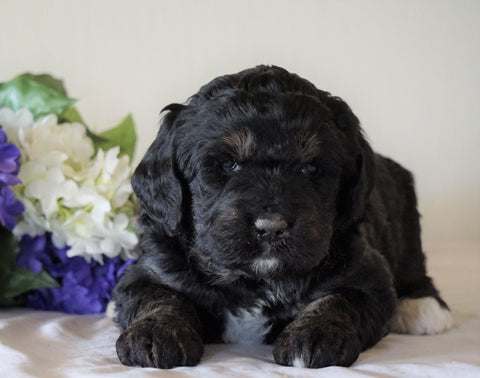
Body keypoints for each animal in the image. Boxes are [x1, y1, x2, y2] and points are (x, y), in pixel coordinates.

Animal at [110, 65, 452, 370]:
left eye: (310, 168)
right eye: (228, 165)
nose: (271, 228)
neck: (255, 280)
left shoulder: (365, 272)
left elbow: (340, 299)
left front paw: (315, 334)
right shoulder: (152, 268)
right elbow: (158, 296)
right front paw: (156, 333)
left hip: (407, 223)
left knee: (413, 268)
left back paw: (425, 307)